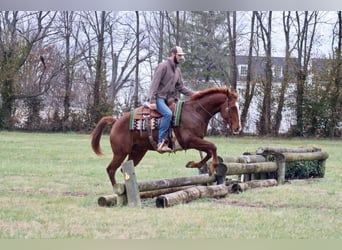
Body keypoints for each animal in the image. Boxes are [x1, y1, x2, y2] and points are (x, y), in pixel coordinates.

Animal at [91, 87, 240, 187]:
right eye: (232, 107)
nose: (238, 128)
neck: (195, 112)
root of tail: (116, 121)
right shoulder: (190, 140)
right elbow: (213, 147)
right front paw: (212, 167)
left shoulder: (197, 141)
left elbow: (209, 152)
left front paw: (194, 164)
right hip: (120, 153)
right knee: (111, 169)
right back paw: (117, 190)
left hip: (137, 152)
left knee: (123, 169)